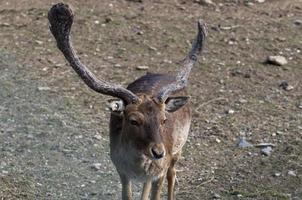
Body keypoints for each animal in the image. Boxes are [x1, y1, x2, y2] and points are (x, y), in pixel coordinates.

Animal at [47, 3, 208, 200]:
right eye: (133, 120)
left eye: (164, 120)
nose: (159, 152)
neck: (137, 164)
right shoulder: (121, 169)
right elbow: (129, 195)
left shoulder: (160, 171)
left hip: (178, 150)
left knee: (173, 173)